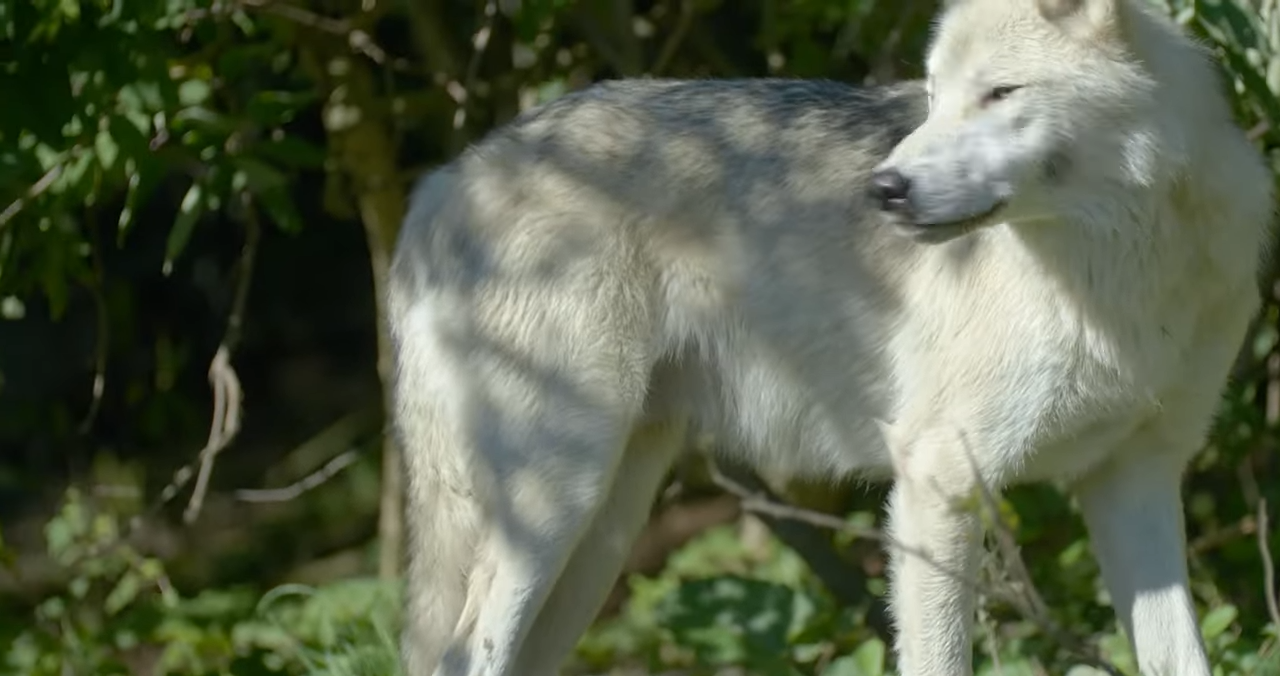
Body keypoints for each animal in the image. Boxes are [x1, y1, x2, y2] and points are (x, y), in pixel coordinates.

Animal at [387, 0, 1273, 673]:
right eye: (934, 94)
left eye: (999, 92)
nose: (886, 189)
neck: (1121, 272)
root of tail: (443, 181)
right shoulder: (936, 484)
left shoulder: (1138, 479)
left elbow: (1182, 657)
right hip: (552, 508)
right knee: (462, 655)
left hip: (602, 530)